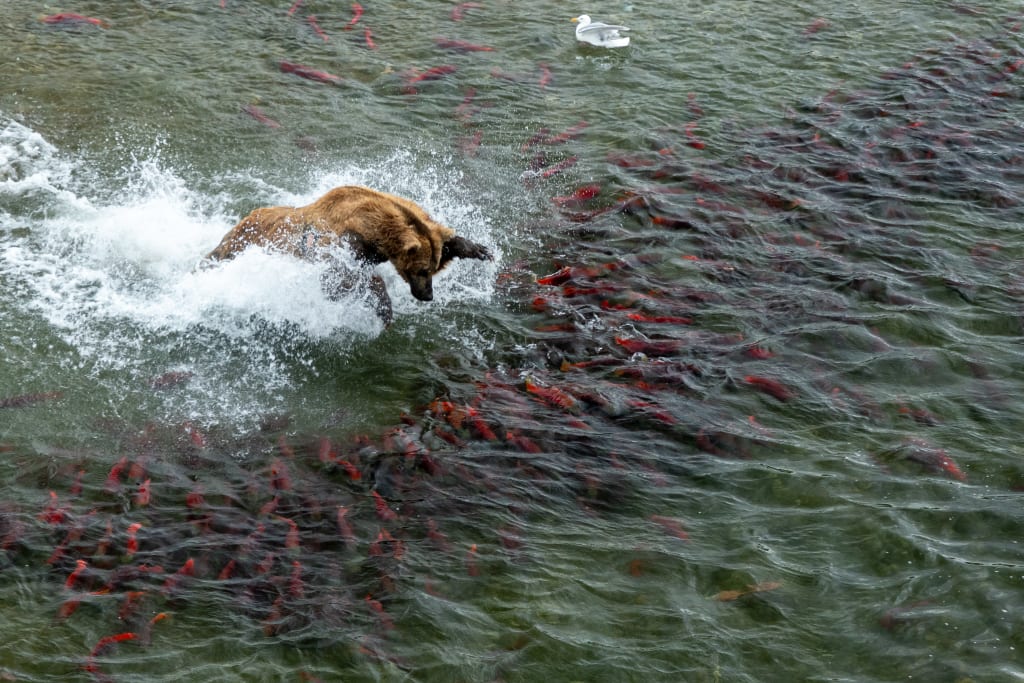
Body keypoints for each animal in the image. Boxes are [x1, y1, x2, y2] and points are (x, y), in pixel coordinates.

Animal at [203, 185, 492, 325]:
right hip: (244, 241)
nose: (428, 295)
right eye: (422, 271)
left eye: (432, 270)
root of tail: (246, 216)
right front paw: (384, 307)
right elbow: (340, 275)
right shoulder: (338, 241)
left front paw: (477, 249)